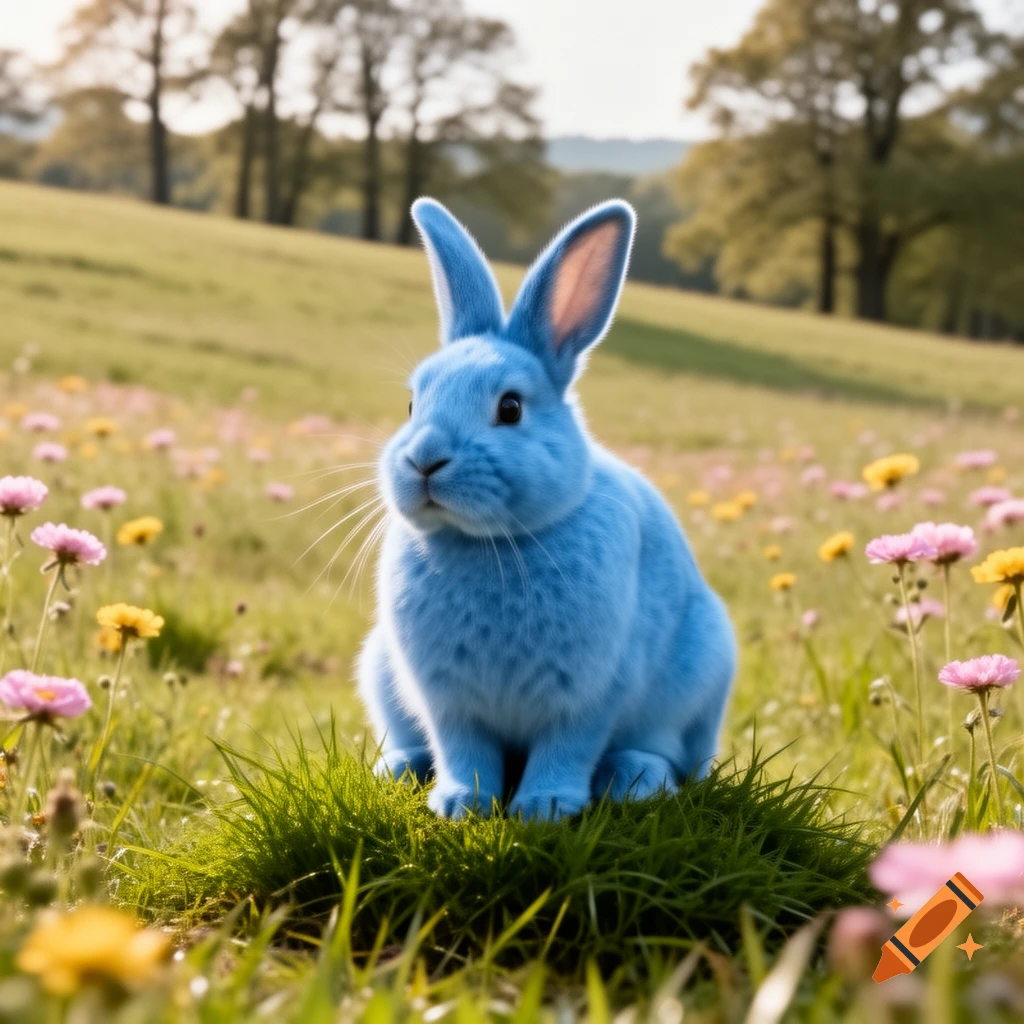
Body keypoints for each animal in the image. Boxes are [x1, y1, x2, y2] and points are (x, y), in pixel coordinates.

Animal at [357, 196, 736, 821]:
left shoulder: (588, 693)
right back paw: (399, 767)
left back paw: (634, 779)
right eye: (413, 404)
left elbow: (567, 747)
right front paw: (461, 804)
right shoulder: (448, 700)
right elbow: (463, 749)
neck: (488, 542)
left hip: (699, 685)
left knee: (671, 758)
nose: (424, 460)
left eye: (510, 408)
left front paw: (545, 808)